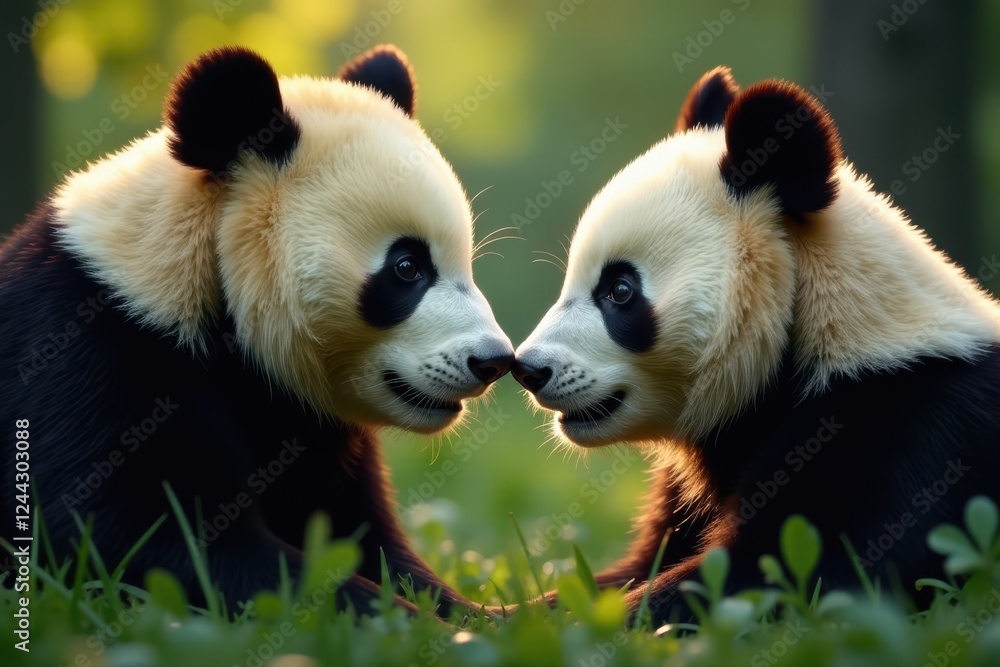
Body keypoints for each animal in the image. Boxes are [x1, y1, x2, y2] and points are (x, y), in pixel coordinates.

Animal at [0, 45, 514, 617]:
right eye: (407, 267)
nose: (494, 361)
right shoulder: (92, 359)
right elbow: (139, 539)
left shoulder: (310, 428)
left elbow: (369, 543)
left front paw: (495, 615)